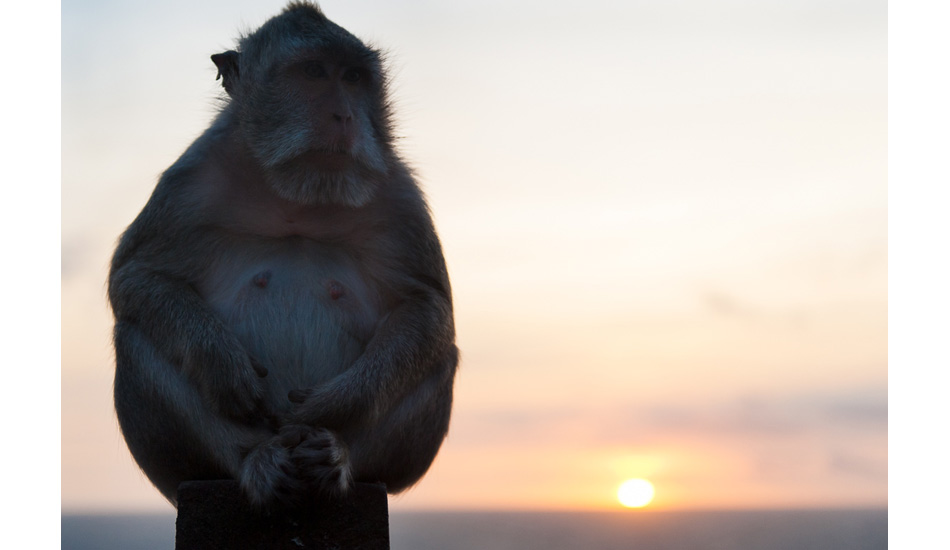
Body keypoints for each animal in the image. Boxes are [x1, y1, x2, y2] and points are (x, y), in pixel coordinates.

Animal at [108, 1, 458, 508]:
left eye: (353, 77)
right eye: (313, 72)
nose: (344, 115)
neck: (298, 193)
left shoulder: (398, 193)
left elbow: (427, 305)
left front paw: (337, 403)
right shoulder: (190, 179)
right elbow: (138, 275)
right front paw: (225, 368)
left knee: (439, 358)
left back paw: (335, 457)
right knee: (134, 336)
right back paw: (256, 462)